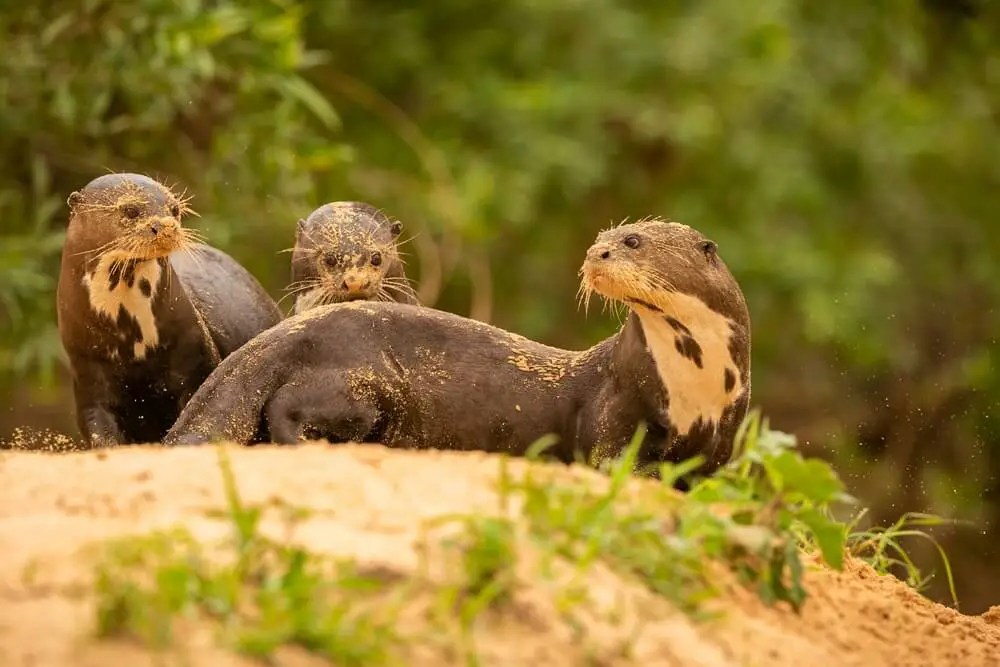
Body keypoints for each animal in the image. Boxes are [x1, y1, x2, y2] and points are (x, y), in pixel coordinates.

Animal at [56, 173, 282, 447]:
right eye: (131, 210)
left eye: (174, 209)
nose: (165, 226)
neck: (132, 341)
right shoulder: (87, 370)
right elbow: (98, 427)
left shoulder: (194, 354)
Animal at [163, 219, 751, 473]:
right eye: (601, 238)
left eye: (632, 240)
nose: (595, 254)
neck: (695, 386)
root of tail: (273, 339)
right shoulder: (614, 407)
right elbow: (609, 461)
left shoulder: (723, 438)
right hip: (361, 381)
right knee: (286, 408)